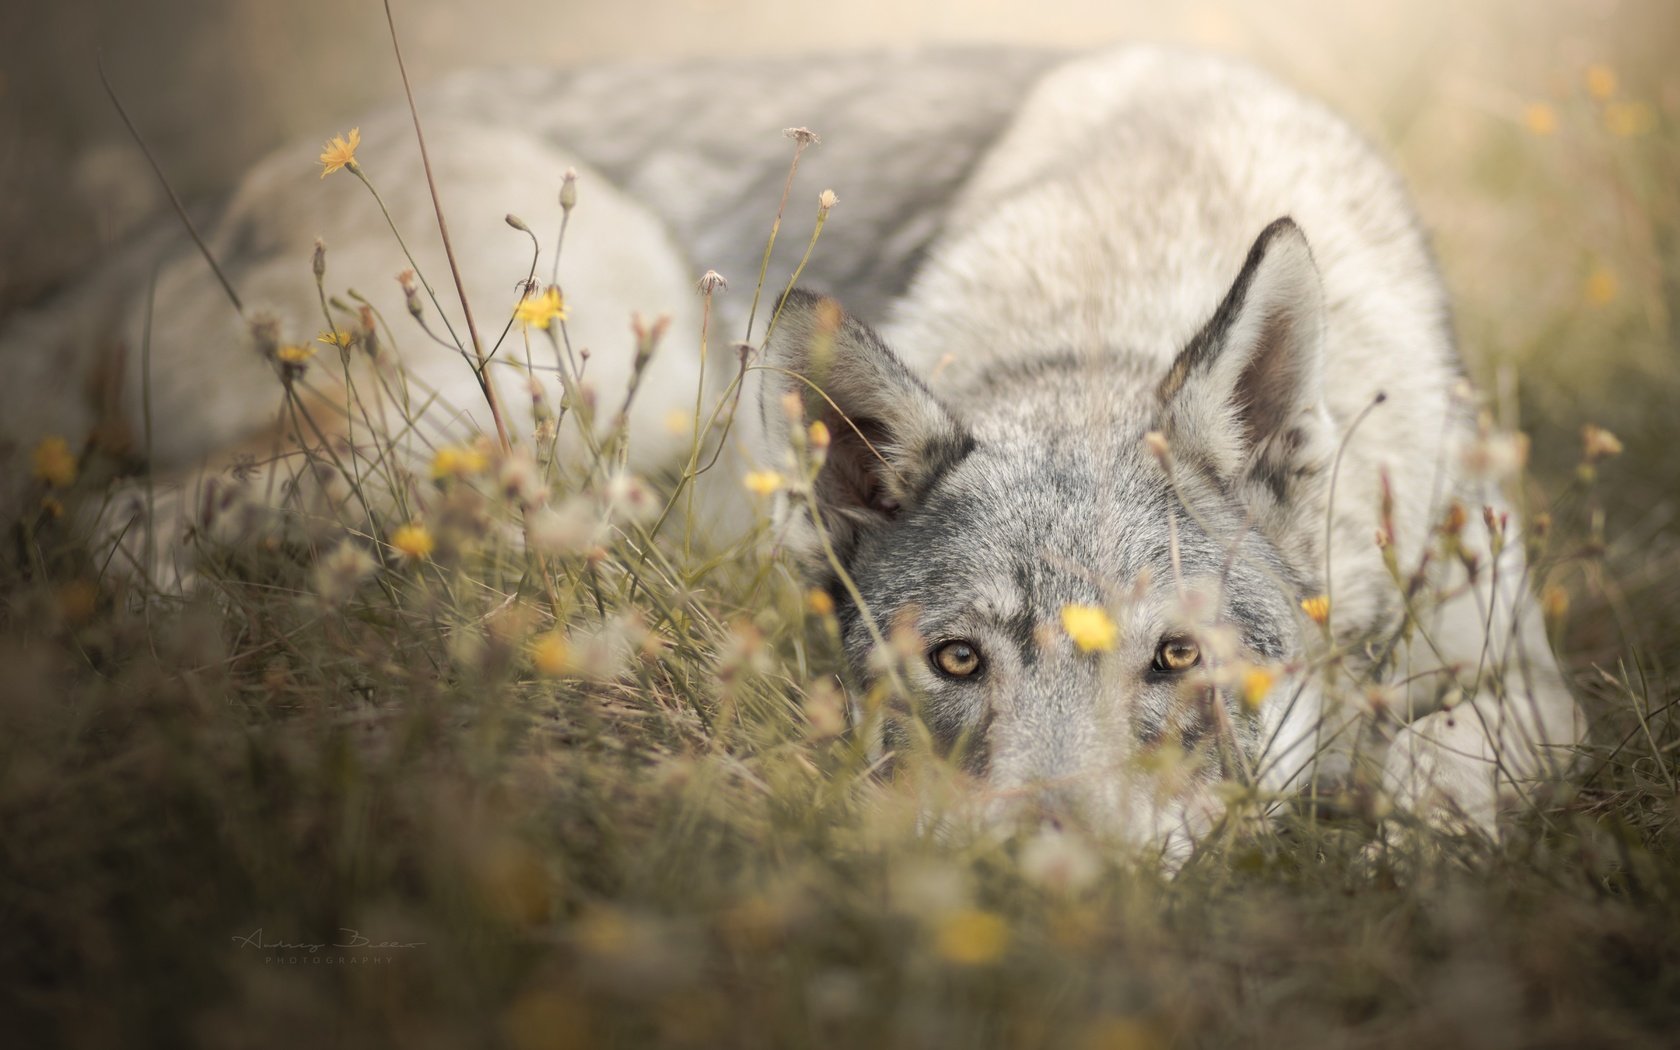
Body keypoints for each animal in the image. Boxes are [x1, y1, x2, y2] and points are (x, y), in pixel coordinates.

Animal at [0, 44, 1579, 856]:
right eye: (957, 661)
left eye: (1177, 660)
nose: (1043, 875)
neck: (1112, 294)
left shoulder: (1531, 693)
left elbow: (1437, 773)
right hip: (572, 374)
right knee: (130, 533)